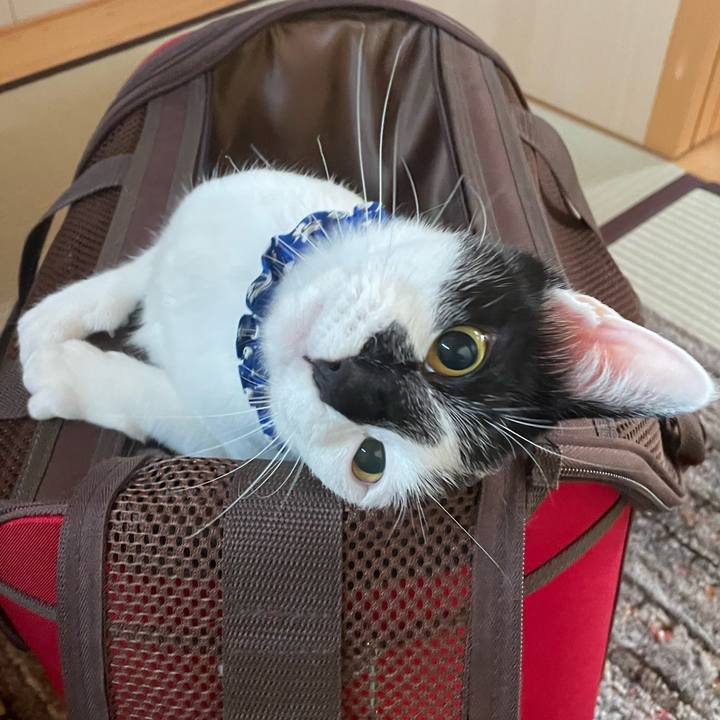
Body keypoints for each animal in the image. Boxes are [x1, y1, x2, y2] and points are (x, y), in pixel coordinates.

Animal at [18, 168, 717, 508]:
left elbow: (154, 402)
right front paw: (45, 317)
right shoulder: (197, 217)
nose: (343, 380)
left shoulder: (223, 435)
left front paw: (61, 375)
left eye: (370, 459)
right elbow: (137, 269)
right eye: (458, 351)